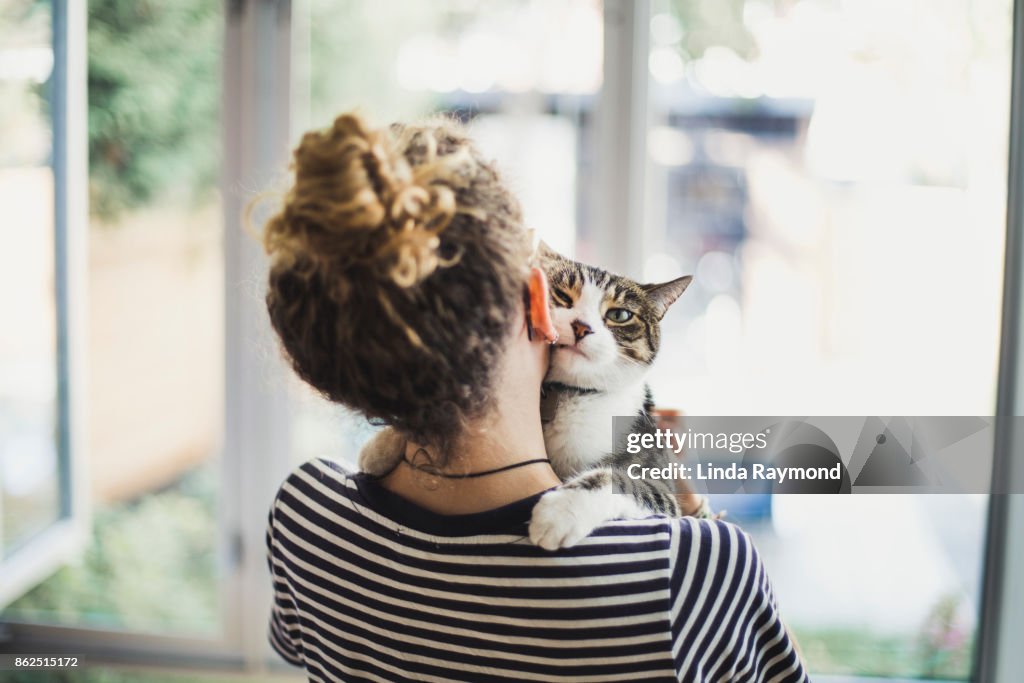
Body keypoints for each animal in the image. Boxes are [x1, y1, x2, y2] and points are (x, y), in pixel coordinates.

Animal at [356, 245, 692, 548]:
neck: (567, 397)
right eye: (563, 296)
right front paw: (381, 446)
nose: (581, 327)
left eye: (620, 314)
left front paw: (560, 512)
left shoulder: (659, 481)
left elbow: (619, 480)